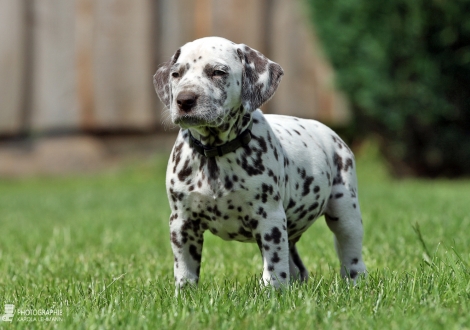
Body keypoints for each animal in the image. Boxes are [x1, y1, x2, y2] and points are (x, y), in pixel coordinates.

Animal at [154, 36, 368, 288]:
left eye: (218, 72)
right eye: (176, 74)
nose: (184, 100)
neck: (215, 153)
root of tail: (330, 132)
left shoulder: (269, 218)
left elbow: (274, 266)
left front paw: (273, 291)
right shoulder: (182, 222)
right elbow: (185, 269)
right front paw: (185, 294)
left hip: (345, 211)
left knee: (350, 253)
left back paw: (355, 282)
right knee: (296, 266)